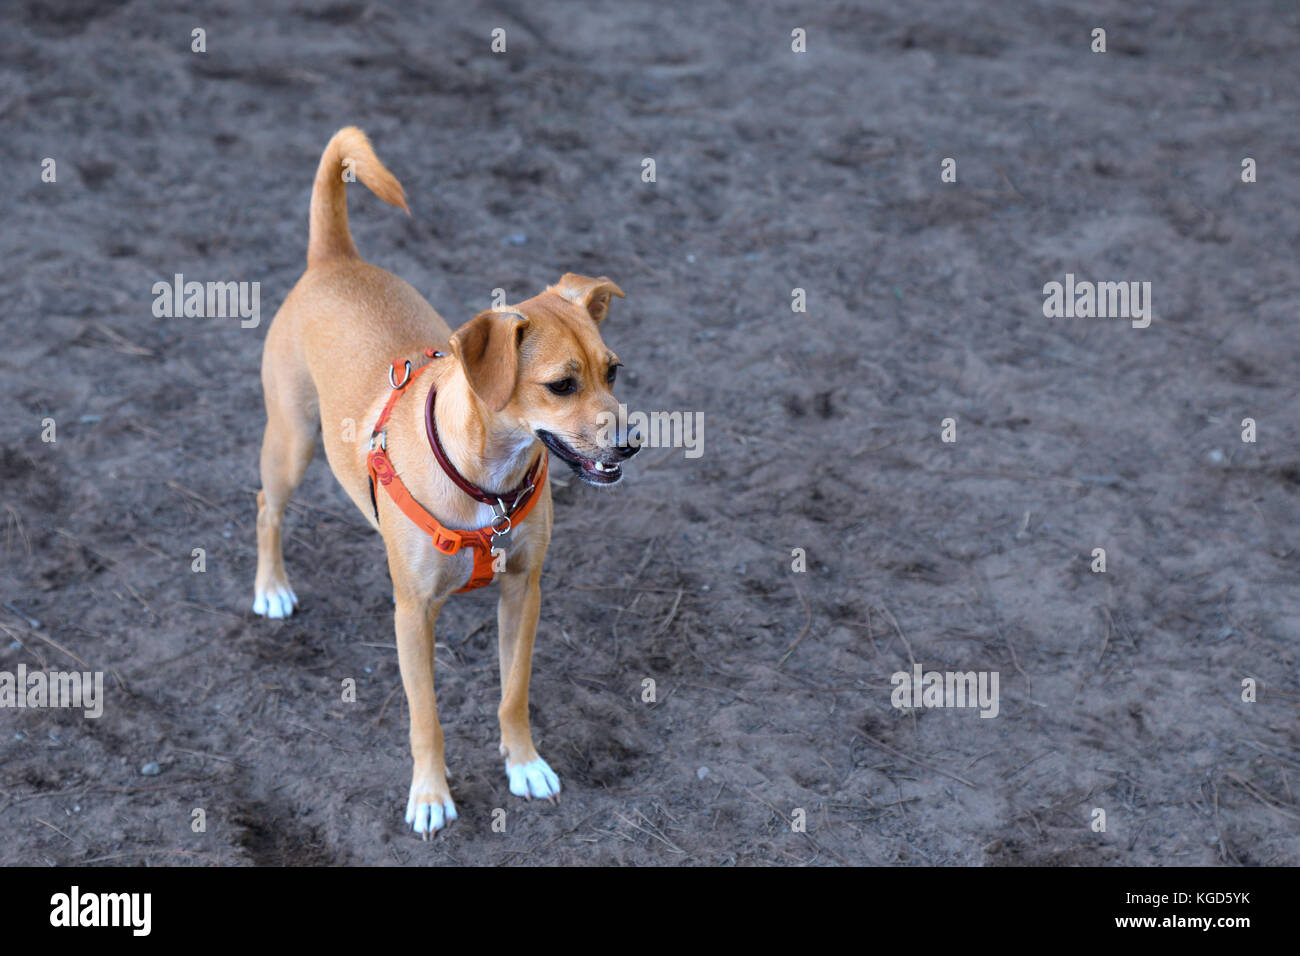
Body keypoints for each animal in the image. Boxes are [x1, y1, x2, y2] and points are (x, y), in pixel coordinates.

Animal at [250, 128, 637, 837]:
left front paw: (524, 764)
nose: (632, 441)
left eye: (613, 372)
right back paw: (271, 588)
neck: (489, 480)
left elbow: (514, 693)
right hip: (291, 443)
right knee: (268, 506)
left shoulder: (523, 592)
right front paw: (430, 796)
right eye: (561, 385)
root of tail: (334, 259)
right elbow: (425, 717)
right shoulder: (412, 616)